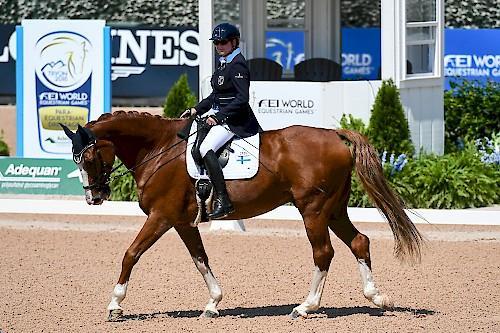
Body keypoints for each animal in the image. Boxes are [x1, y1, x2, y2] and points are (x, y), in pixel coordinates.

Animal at [61, 111, 422, 320]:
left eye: (88, 158)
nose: (94, 197)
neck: (158, 149)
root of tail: (333, 134)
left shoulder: (161, 217)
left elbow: (130, 254)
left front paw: (115, 305)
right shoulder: (182, 222)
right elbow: (200, 259)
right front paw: (213, 303)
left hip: (314, 209)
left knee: (324, 252)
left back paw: (306, 307)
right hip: (334, 209)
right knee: (359, 242)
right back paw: (377, 297)